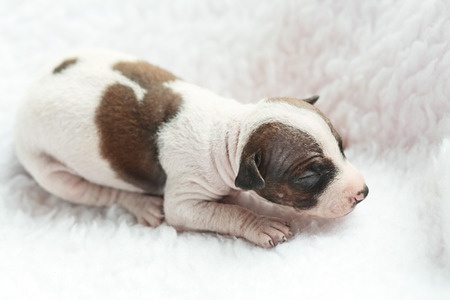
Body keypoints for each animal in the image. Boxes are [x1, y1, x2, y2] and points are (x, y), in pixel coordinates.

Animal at [14, 49, 370, 247]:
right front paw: (260, 223)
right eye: (309, 176)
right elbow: (221, 212)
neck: (234, 133)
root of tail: (31, 88)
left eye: (341, 147)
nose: (362, 193)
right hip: (50, 172)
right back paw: (142, 204)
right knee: (97, 192)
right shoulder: (186, 195)